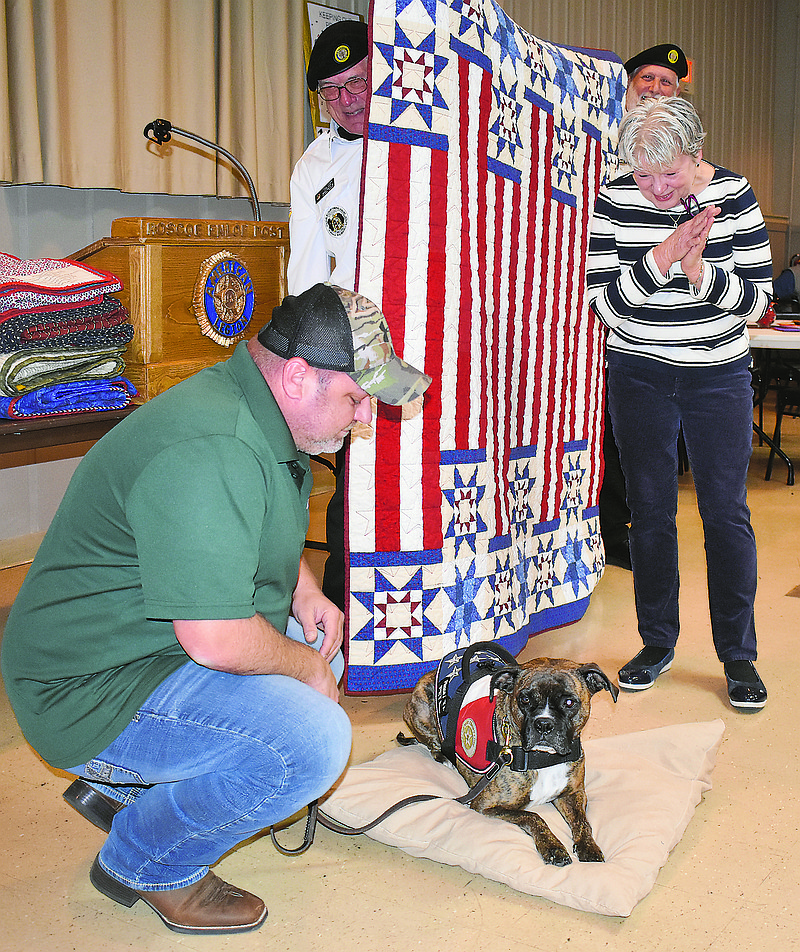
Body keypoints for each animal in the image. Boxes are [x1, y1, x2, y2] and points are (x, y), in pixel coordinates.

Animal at [400, 660, 620, 868]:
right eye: (525, 699)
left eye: (569, 702)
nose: (544, 724)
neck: (543, 759)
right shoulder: (485, 805)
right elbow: (533, 816)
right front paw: (553, 848)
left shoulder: (574, 794)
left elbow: (583, 821)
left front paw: (588, 846)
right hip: (419, 711)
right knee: (431, 743)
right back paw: (446, 758)